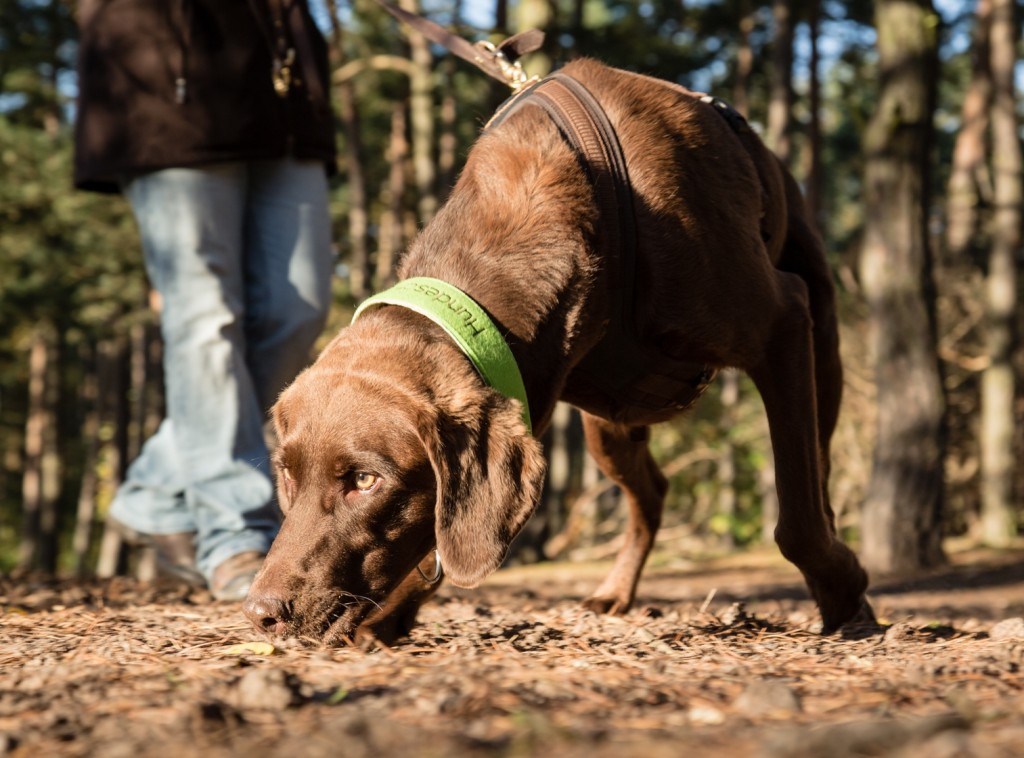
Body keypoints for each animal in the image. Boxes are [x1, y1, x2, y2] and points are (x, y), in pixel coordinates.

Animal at [243, 57, 868, 647]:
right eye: (287, 474)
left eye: (367, 481)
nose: (261, 613)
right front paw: (393, 612)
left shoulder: (782, 322)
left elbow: (798, 517)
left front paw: (844, 595)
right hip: (608, 427)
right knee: (653, 493)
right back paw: (616, 590)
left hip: (823, 350)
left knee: (818, 476)